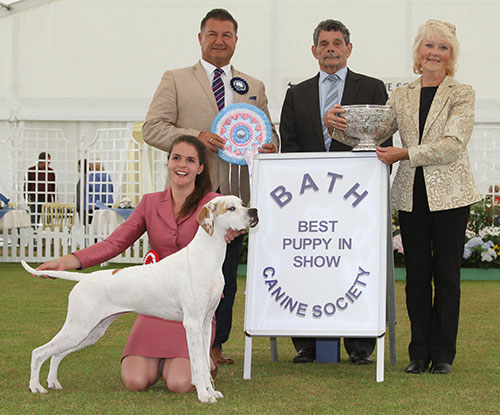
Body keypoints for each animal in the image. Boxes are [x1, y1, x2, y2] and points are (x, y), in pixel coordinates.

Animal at [21, 197, 258, 404]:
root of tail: (84, 278)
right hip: (78, 328)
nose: (254, 211)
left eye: (243, 203)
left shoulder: (206, 323)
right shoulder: (192, 324)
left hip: (90, 333)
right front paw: (203, 395)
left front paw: (211, 391)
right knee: (39, 352)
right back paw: (35, 387)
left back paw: (53, 382)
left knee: (55, 355)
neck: (207, 257)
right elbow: (198, 366)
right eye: (231, 208)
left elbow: (204, 362)